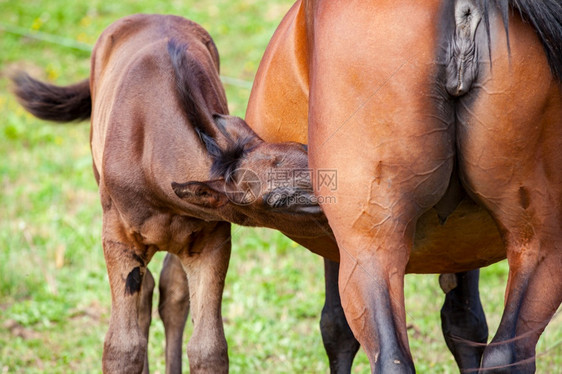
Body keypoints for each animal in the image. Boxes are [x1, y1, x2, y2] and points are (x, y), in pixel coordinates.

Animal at [246, 1, 560, 372]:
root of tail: (467, 10)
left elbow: (335, 328)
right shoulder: (464, 243)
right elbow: (465, 323)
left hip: (369, 250)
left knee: (390, 357)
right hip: (539, 244)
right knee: (506, 353)